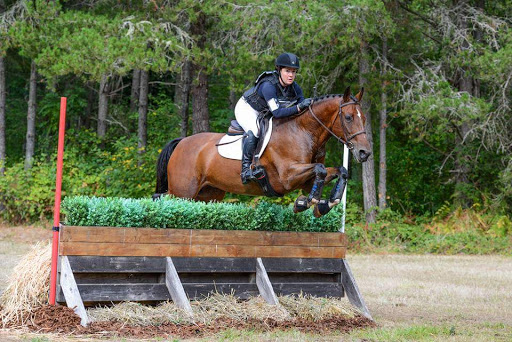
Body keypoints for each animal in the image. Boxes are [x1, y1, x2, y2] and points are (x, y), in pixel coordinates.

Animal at [154, 87, 370, 218]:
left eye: (364, 118)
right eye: (348, 117)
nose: (364, 153)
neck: (303, 131)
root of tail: (182, 142)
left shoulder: (306, 181)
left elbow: (338, 171)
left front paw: (324, 204)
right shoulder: (286, 177)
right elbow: (320, 169)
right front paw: (304, 203)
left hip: (208, 194)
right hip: (182, 192)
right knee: (165, 198)